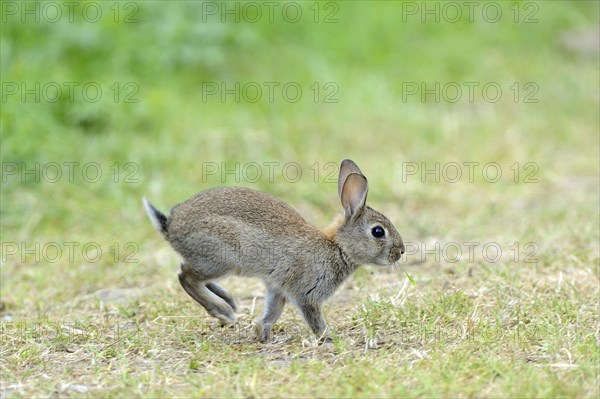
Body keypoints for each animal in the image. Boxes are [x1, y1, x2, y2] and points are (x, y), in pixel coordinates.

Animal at [143, 159, 406, 340]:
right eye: (378, 232)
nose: (401, 251)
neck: (338, 247)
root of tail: (171, 226)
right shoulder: (307, 294)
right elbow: (313, 318)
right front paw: (329, 337)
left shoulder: (278, 288)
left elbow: (272, 312)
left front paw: (261, 334)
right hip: (220, 257)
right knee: (186, 276)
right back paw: (223, 311)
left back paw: (228, 301)